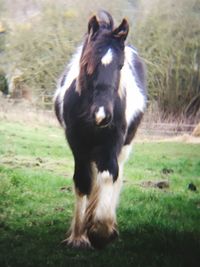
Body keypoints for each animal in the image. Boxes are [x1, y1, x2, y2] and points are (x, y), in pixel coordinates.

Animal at [54, 11, 147, 250]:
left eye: (120, 65)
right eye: (88, 62)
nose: (102, 115)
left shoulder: (111, 144)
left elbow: (108, 176)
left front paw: (101, 230)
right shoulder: (77, 144)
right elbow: (83, 182)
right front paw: (79, 236)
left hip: (124, 146)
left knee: (117, 176)